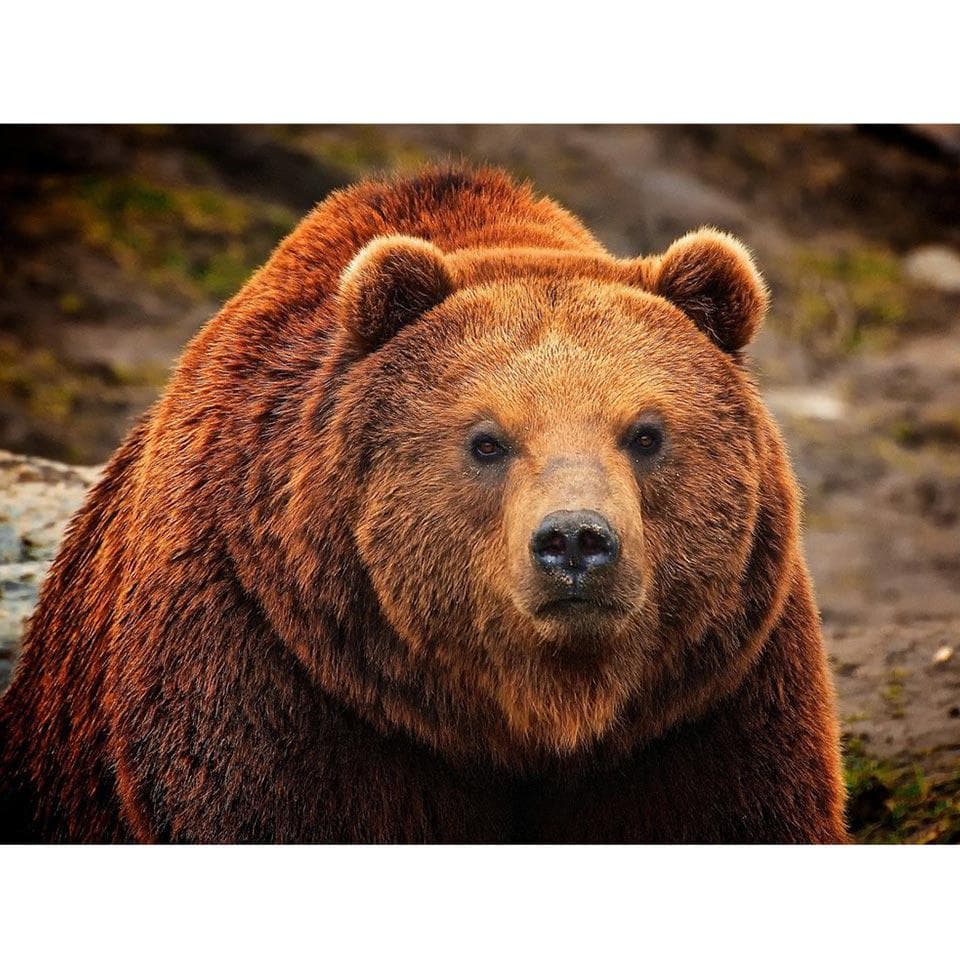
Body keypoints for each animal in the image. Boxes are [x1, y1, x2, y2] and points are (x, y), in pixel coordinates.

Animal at [0, 166, 847, 842]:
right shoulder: (276, 666)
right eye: (487, 440)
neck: (530, 711)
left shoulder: (704, 697)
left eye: (646, 432)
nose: (575, 541)